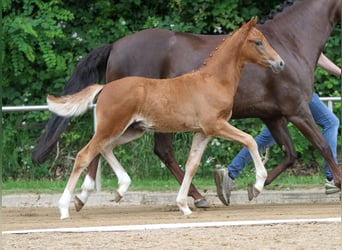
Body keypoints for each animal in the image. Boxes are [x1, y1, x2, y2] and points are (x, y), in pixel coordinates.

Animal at [34, 0, 340, 209]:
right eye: (258, 42)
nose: (279, 64)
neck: (291, 40)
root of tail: (115, 46)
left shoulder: (273, 115)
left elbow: (290, 153)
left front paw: (249, 187)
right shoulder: (296, 110)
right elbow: (322, 146)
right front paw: (336, 182)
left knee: (128, 149)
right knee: (133, 149)